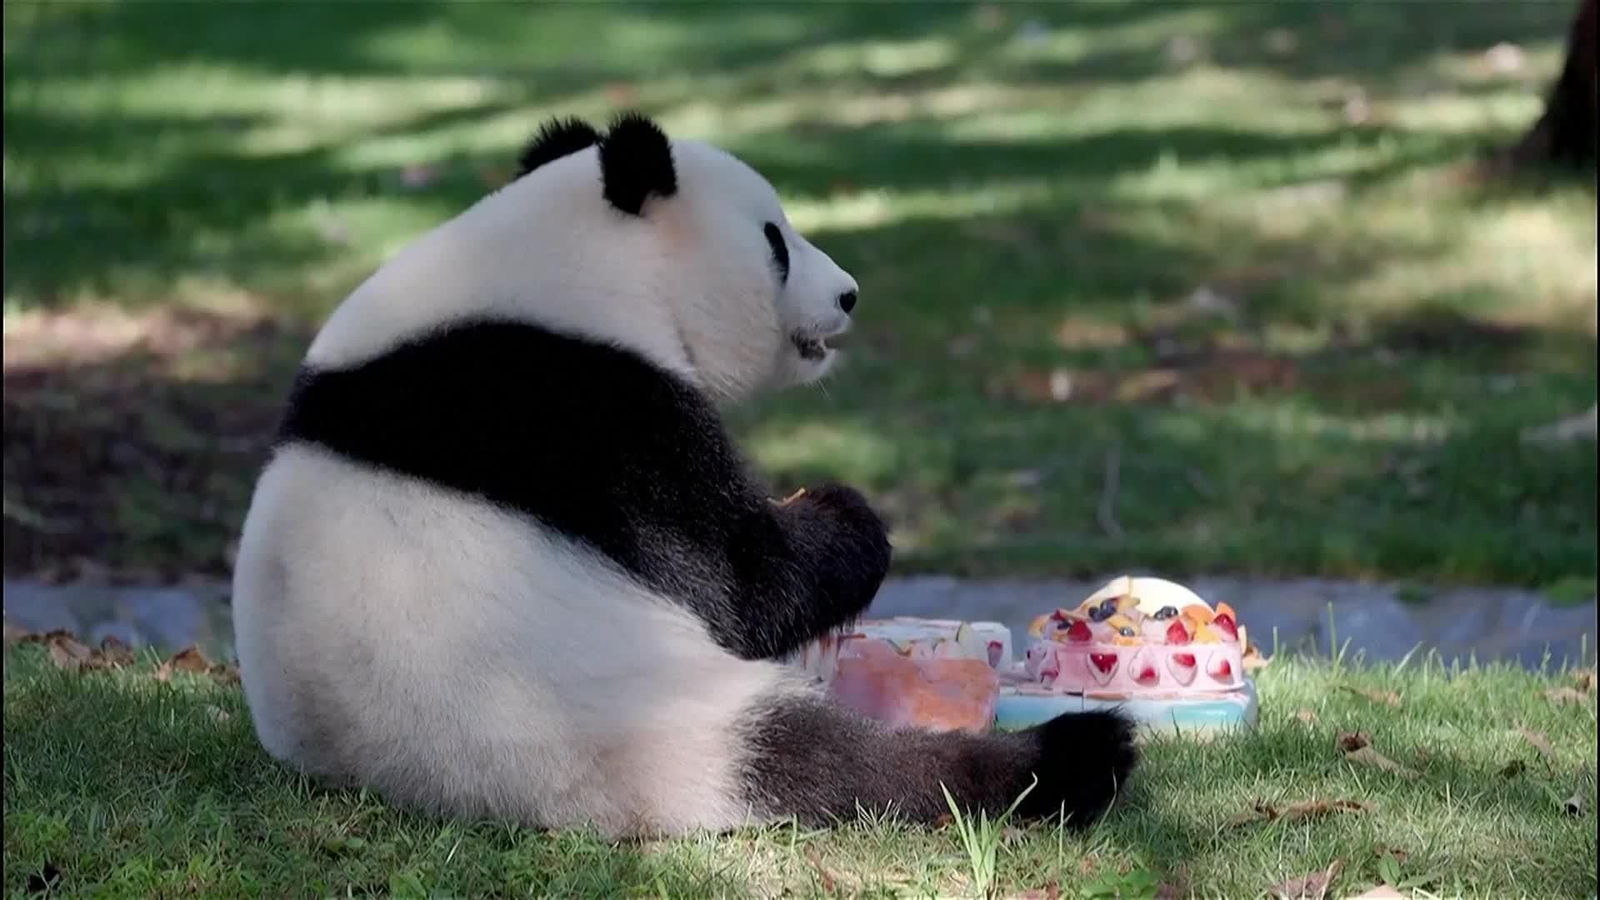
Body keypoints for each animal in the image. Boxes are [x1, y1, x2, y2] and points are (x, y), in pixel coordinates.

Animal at [230, 111, 1138, 838]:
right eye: (775, 240)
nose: (848, 294)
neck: (567, 262)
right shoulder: (592, 411)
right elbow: (740, 584)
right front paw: (844, 514)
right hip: (644, 708)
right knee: (845, 767)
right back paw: (1076, 756)